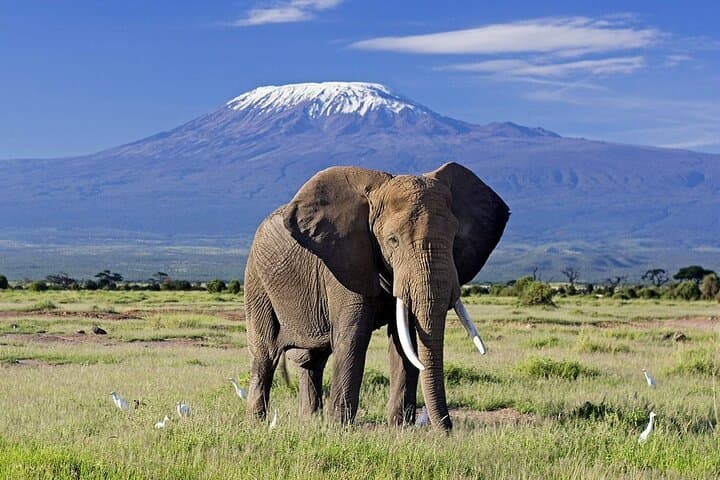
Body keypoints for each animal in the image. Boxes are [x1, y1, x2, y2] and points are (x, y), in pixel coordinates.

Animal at [244, 162, 509, 430]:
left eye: (455, 238)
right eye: (393, 240)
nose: (447, 431)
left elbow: (404, 340)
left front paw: (400, 429)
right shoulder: (344, 263)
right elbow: (354, 336)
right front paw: (339, 429)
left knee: (312, 360)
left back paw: (310, 422)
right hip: (256, 281)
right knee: (265, 354)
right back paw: (257, 423)